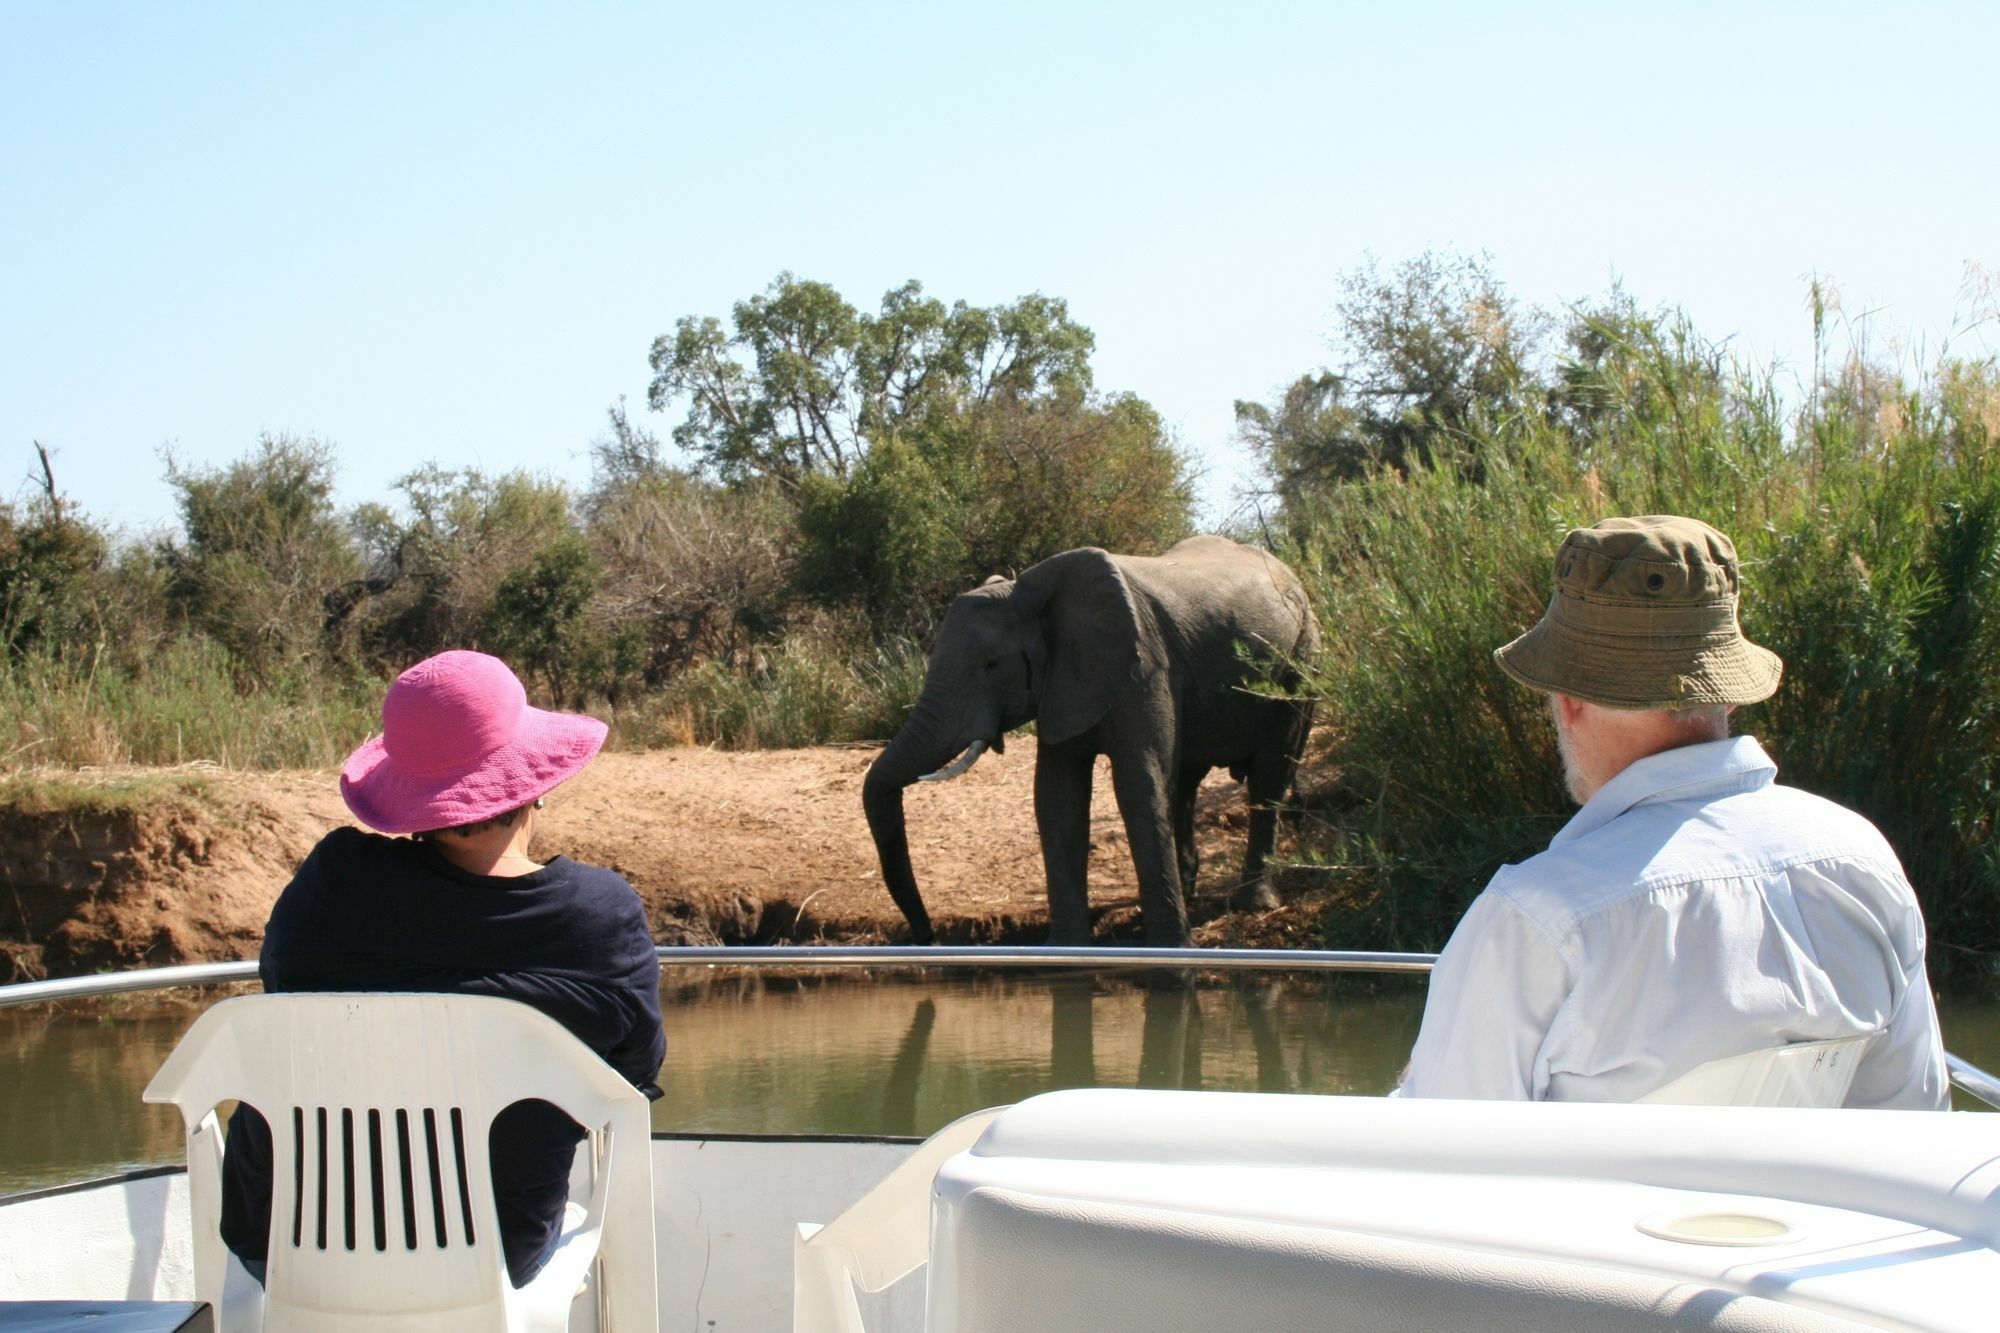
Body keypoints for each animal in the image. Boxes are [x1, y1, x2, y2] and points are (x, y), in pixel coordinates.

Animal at [856, 532, 1312, 944]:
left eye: (992, 665)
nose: (926, 938)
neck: (1031, 593)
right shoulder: (1062, 681)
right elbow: (1058, 797)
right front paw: (1066, 949)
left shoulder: (1145, 666)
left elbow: (1137, 785)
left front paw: (1170, 949)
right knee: (1186, 783)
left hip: (1302, 659)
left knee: (1270, 773)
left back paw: (1254, 904)